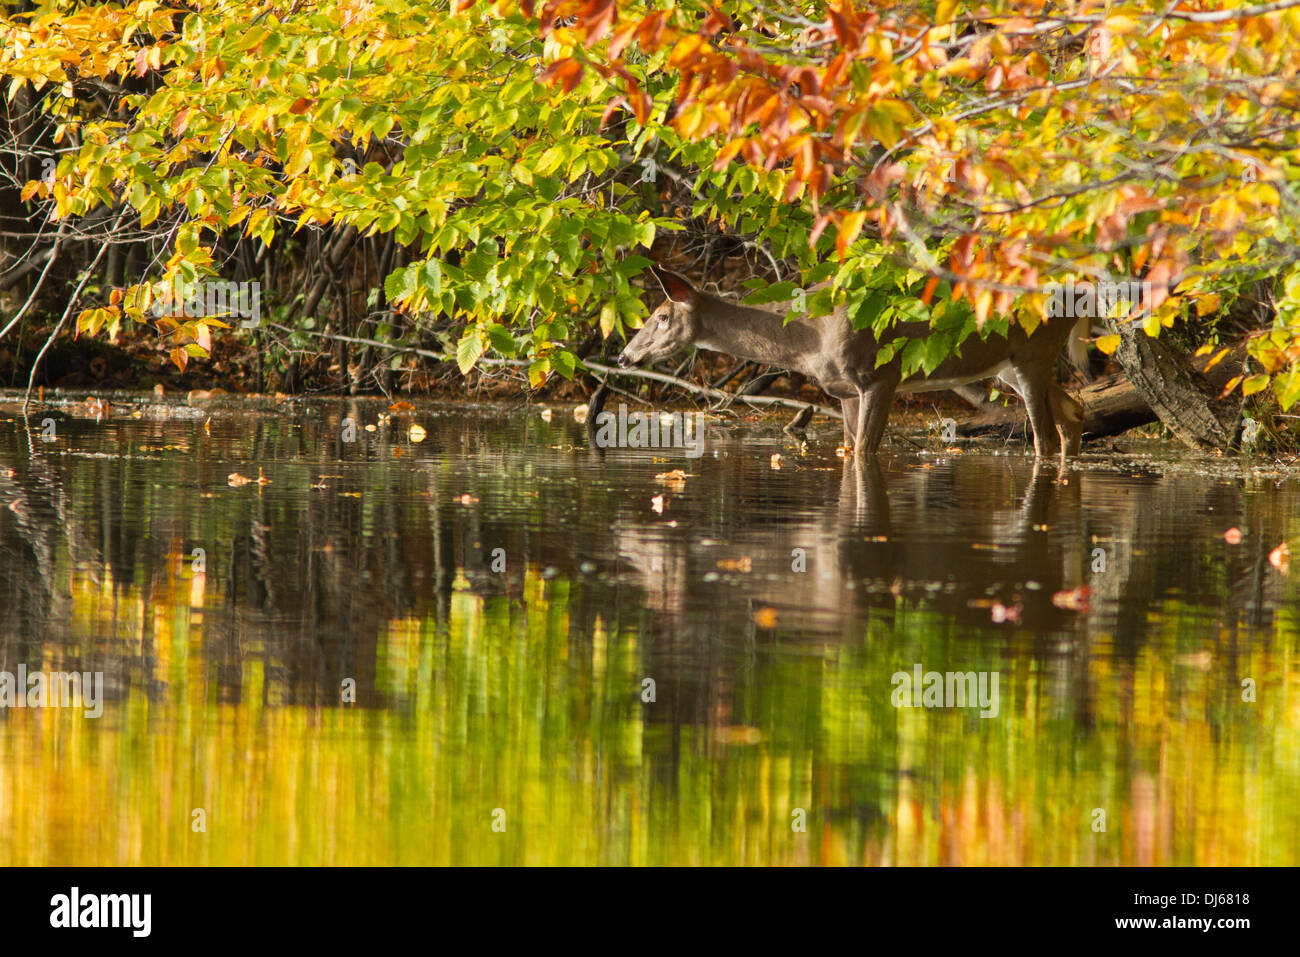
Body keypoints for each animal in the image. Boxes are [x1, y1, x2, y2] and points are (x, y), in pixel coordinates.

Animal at [617, 266, 1085, 462]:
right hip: (1008, 364)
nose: (625, 356)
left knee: (1044, 435)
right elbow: (847, 448)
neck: (807, 338)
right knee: (1074, 411)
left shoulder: (880, 375)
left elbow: (864, 450)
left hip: (1033, 352)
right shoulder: (842, 390)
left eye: (662, 315)